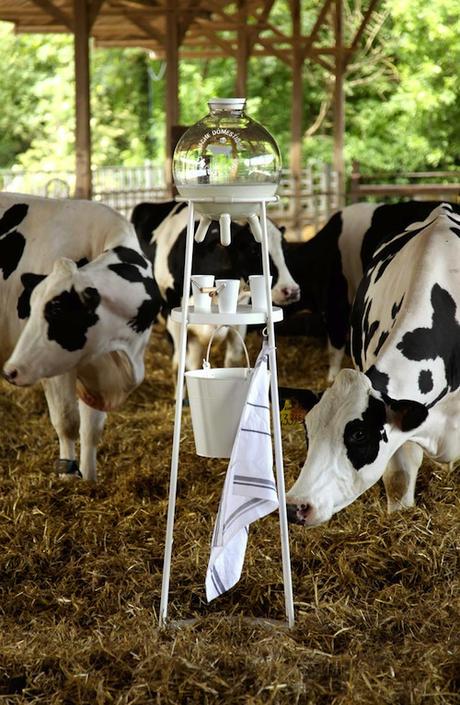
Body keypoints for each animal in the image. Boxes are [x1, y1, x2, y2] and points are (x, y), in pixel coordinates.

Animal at [0, 193, 157, 482]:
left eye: (57, 309)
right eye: (31, 305)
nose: (10, 371)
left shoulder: (93, 368)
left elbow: (91, 429)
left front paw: (90, 480)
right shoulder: (55, 367)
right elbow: (67, 421)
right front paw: (68, 476)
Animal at [131, 200, 300, 370]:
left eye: (285, 248)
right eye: (253, 249)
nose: (291, 290)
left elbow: (233, 360)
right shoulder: (174, 317)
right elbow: (185, 362)